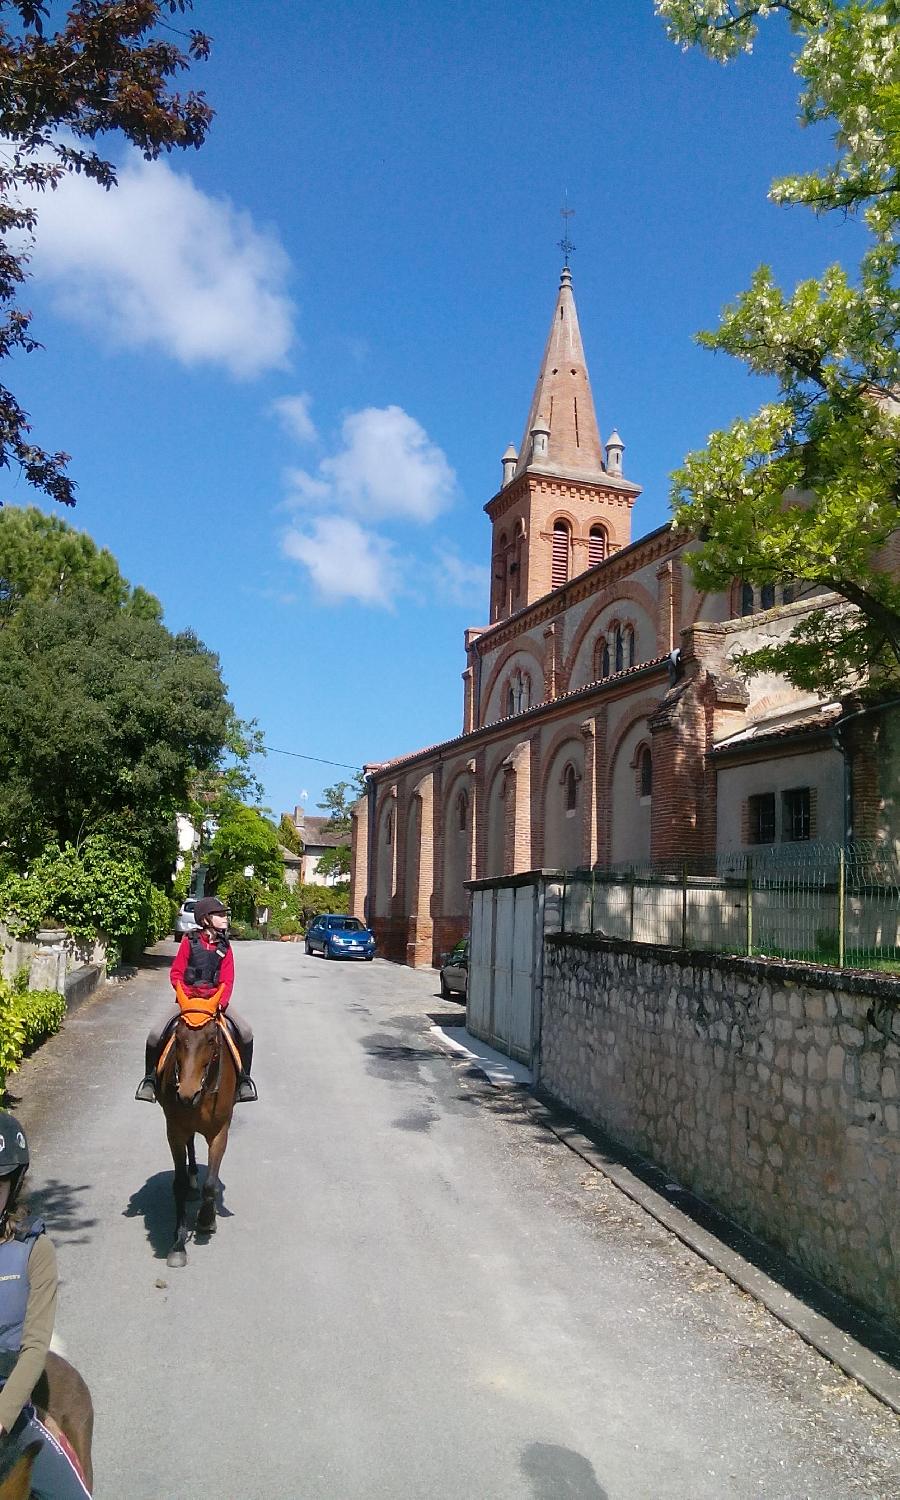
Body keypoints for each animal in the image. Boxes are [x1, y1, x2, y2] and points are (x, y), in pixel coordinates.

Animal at [156, 990, 237, 1272]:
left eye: (211, 1039)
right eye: (178, 1038)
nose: (186, 1094)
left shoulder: (221, 1131)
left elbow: (211, 1184)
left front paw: (206, 1220)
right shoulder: (174, 1130)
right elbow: (178, 1184)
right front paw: (178, 1244)